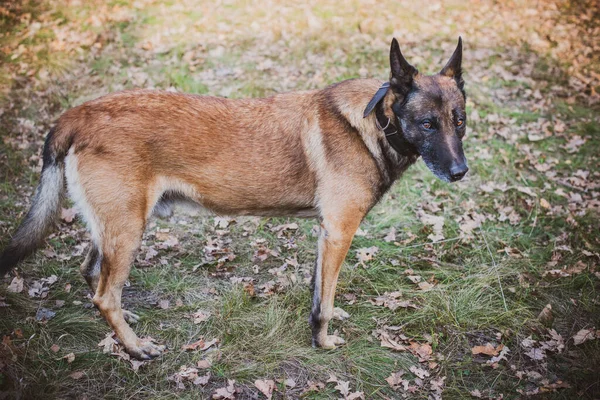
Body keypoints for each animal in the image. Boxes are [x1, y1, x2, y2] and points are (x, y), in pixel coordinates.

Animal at [0, 37, 468, 360]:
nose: (461, 173)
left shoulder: (326, 235)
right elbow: (325, 302)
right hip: (128, 229)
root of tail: (77, 114)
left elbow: (320, 292)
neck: (372, 124)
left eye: (459, 121)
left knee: (92, 275)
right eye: (427, 123)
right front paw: (322, 341)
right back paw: (135, 348)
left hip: (115, 227)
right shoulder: (340, 232)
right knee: (103, 294)